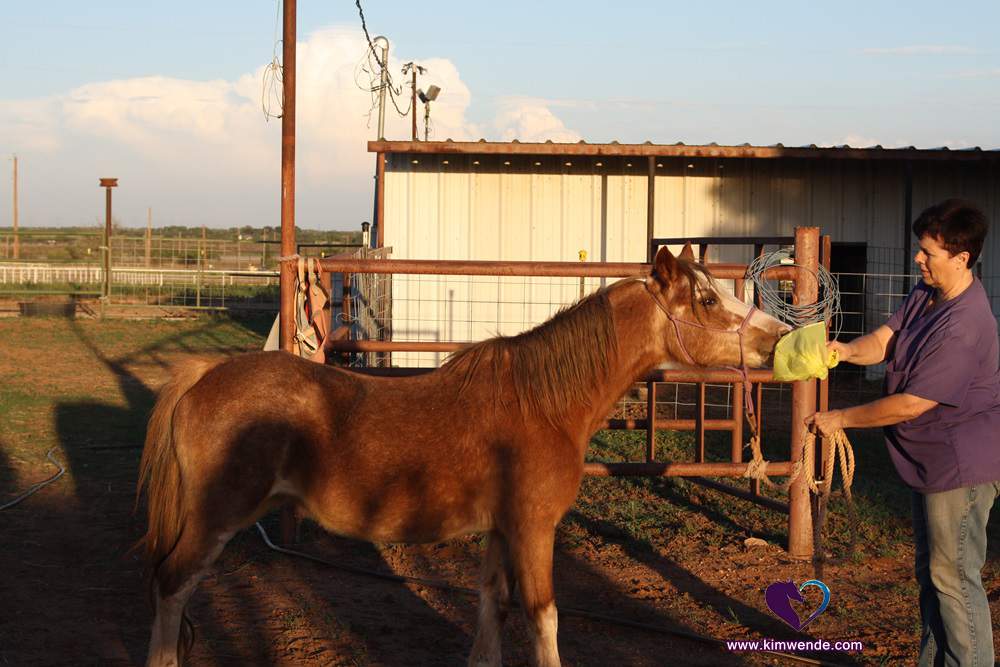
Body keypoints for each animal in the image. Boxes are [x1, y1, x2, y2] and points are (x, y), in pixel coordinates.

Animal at [135, 247, 788, 667]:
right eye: (707, 299)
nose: (777, 339)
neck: (543, 402)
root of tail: (202, 379)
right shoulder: (533, 530)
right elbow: (543, 616)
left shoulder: (500, 531)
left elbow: (491, 608)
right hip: (216, 518)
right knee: (170, 584)